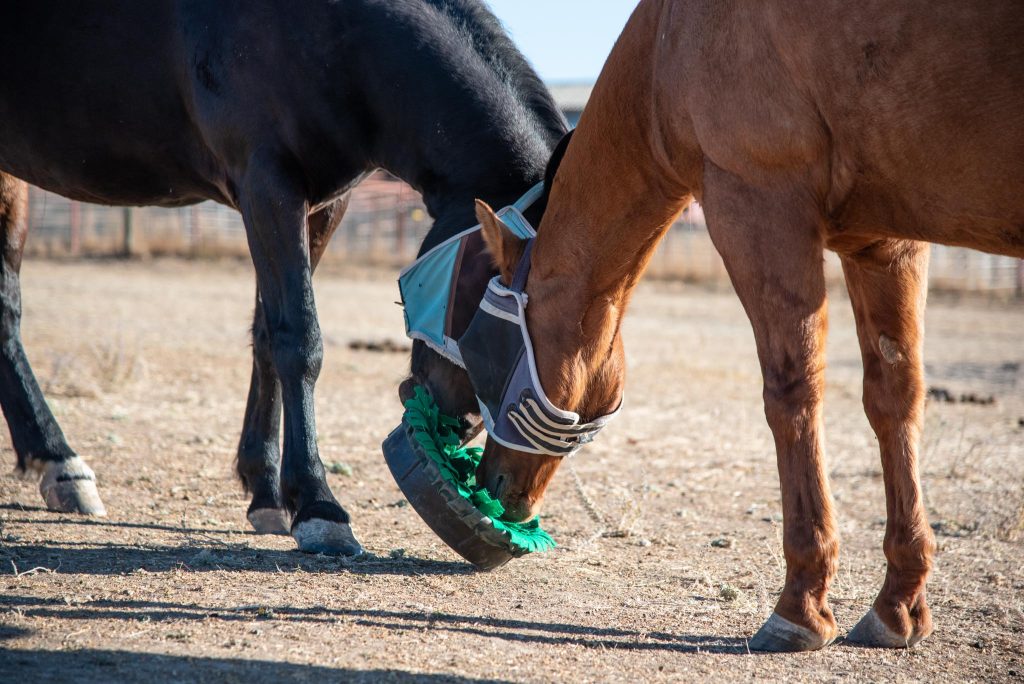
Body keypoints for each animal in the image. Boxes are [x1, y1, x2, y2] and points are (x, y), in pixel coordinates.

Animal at [0, 0, 567, 555]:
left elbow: (268, 337)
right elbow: (299, 340)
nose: (464, 428)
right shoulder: (268, 185)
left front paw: (268, 492)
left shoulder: (323, 203)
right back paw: (60, 460)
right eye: (503, 328)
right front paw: (319, 506)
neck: (328, 31)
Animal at [454, 0, 1024, 652]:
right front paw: (898, 602)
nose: (490, 481)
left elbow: (792, 395)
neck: (664, 49)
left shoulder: (757, 208)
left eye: (485, 352)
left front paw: (800, 605)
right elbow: (894, 397)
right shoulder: (886, 243)